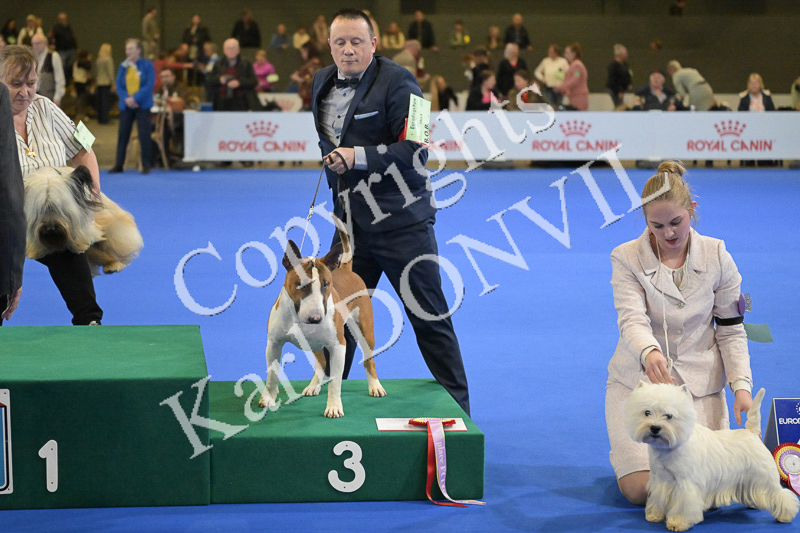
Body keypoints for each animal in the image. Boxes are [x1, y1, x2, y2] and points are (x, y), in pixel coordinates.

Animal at [258, 214, 385, 418]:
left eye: (326, 285)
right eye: (301, 284)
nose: (315, 319)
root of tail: (346, 269)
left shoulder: (338, 345)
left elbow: (335, 381)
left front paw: (333, 407)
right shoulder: (274, 343)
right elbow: (272, 374)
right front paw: (268, 398)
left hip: (365, 328)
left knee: (368, 359)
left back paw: (375, 387)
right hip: (314, 341)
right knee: (321, 361)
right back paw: (313, 386)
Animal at [626, 382, 799, 531]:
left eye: (669, 416)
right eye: (647, 412)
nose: (655, 428)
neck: (669, 447)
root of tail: (751, 432)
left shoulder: (685, 484)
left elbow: (682, 505)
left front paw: (677, 523)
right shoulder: (660, 479)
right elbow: (658, 499)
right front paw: (655, 515)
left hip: (765, 476)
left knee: (780, 494)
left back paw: (785, 515)